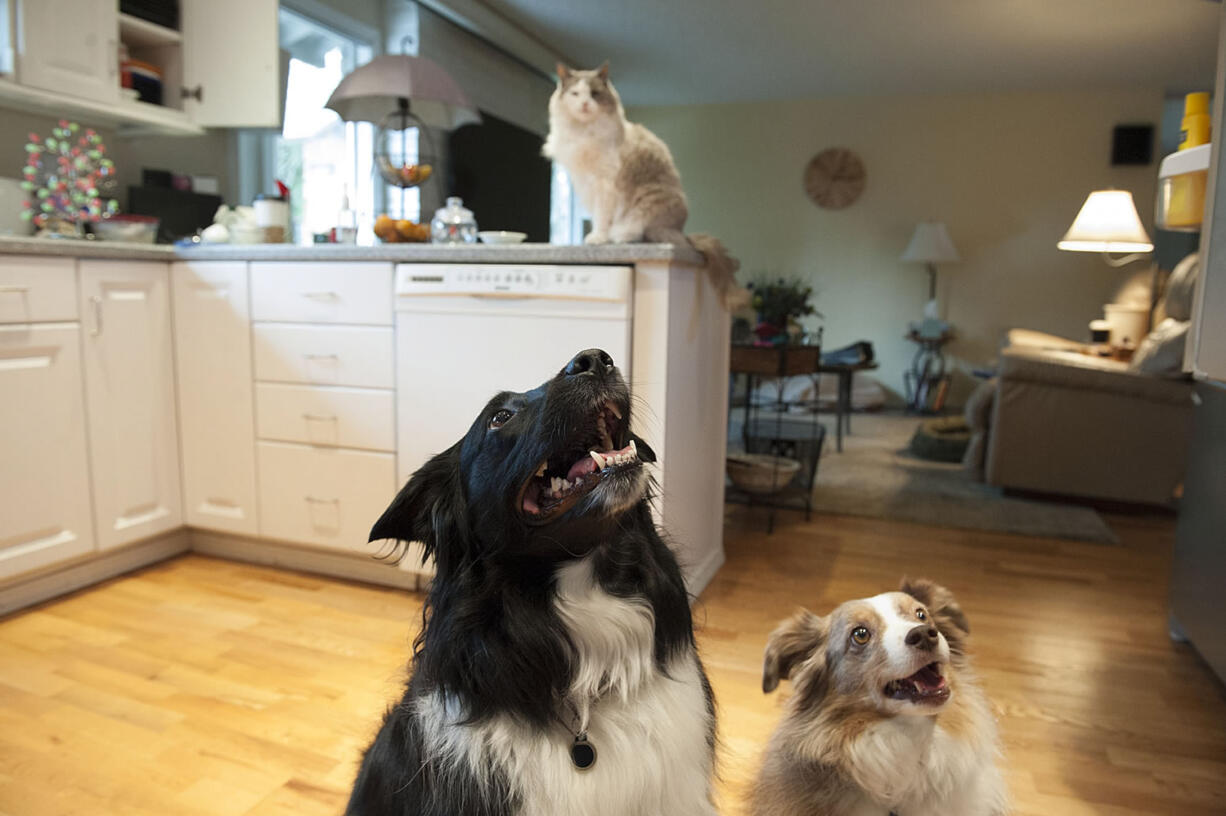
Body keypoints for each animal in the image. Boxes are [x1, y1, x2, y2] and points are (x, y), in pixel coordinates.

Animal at [546, 61, 745, 306]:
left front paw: (598, 238)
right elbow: (594, 215)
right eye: (575, 94)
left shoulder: (605, 183)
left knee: (639, 231)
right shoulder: (584, 182)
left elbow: (601, 217)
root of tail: (681, 232)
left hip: (647, 202)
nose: (584, 104)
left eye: (595, 94)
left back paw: (619, 236)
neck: (583, 133)